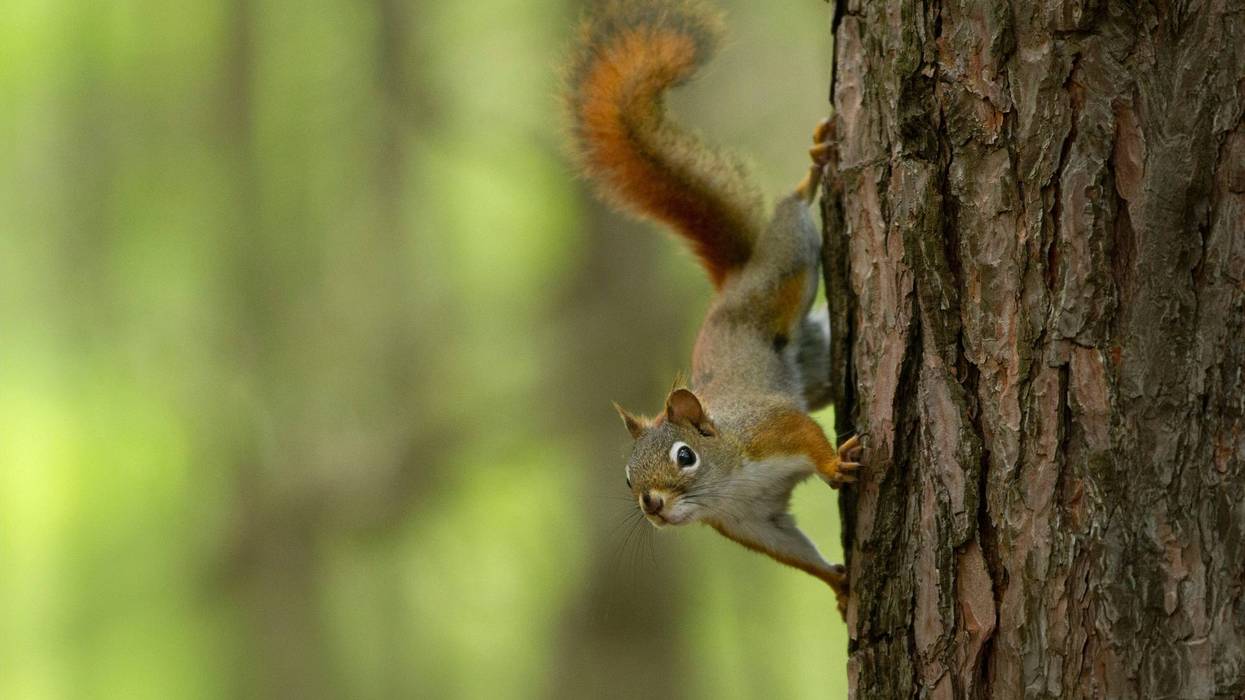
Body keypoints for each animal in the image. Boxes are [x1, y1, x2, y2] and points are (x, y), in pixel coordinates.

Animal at [564, 0, 861, 613]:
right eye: (627, 479)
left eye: (685, 457)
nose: (652, 506)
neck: (727, 483)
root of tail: (730, 282)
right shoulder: (754, 522)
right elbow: (796, 552)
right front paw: (840, 585)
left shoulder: (769, 428)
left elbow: (805, 432)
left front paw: (833, 464)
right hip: (816, 362)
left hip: (783, 271)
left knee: (790, 216)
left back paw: (813, 169)